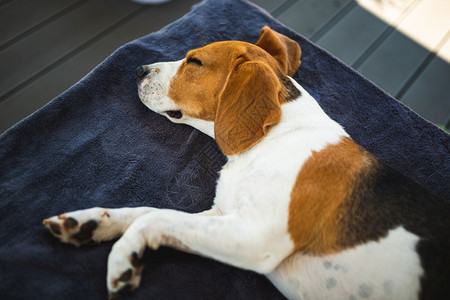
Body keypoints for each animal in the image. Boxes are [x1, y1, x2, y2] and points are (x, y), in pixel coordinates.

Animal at [41, 26, 446, 300]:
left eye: (194, 61)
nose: (139, 69)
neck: (272, 140)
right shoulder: (224, 217)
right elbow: (147, 211)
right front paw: (91, 222)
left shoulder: (254, 236)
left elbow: (152, 217)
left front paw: (124, 256)